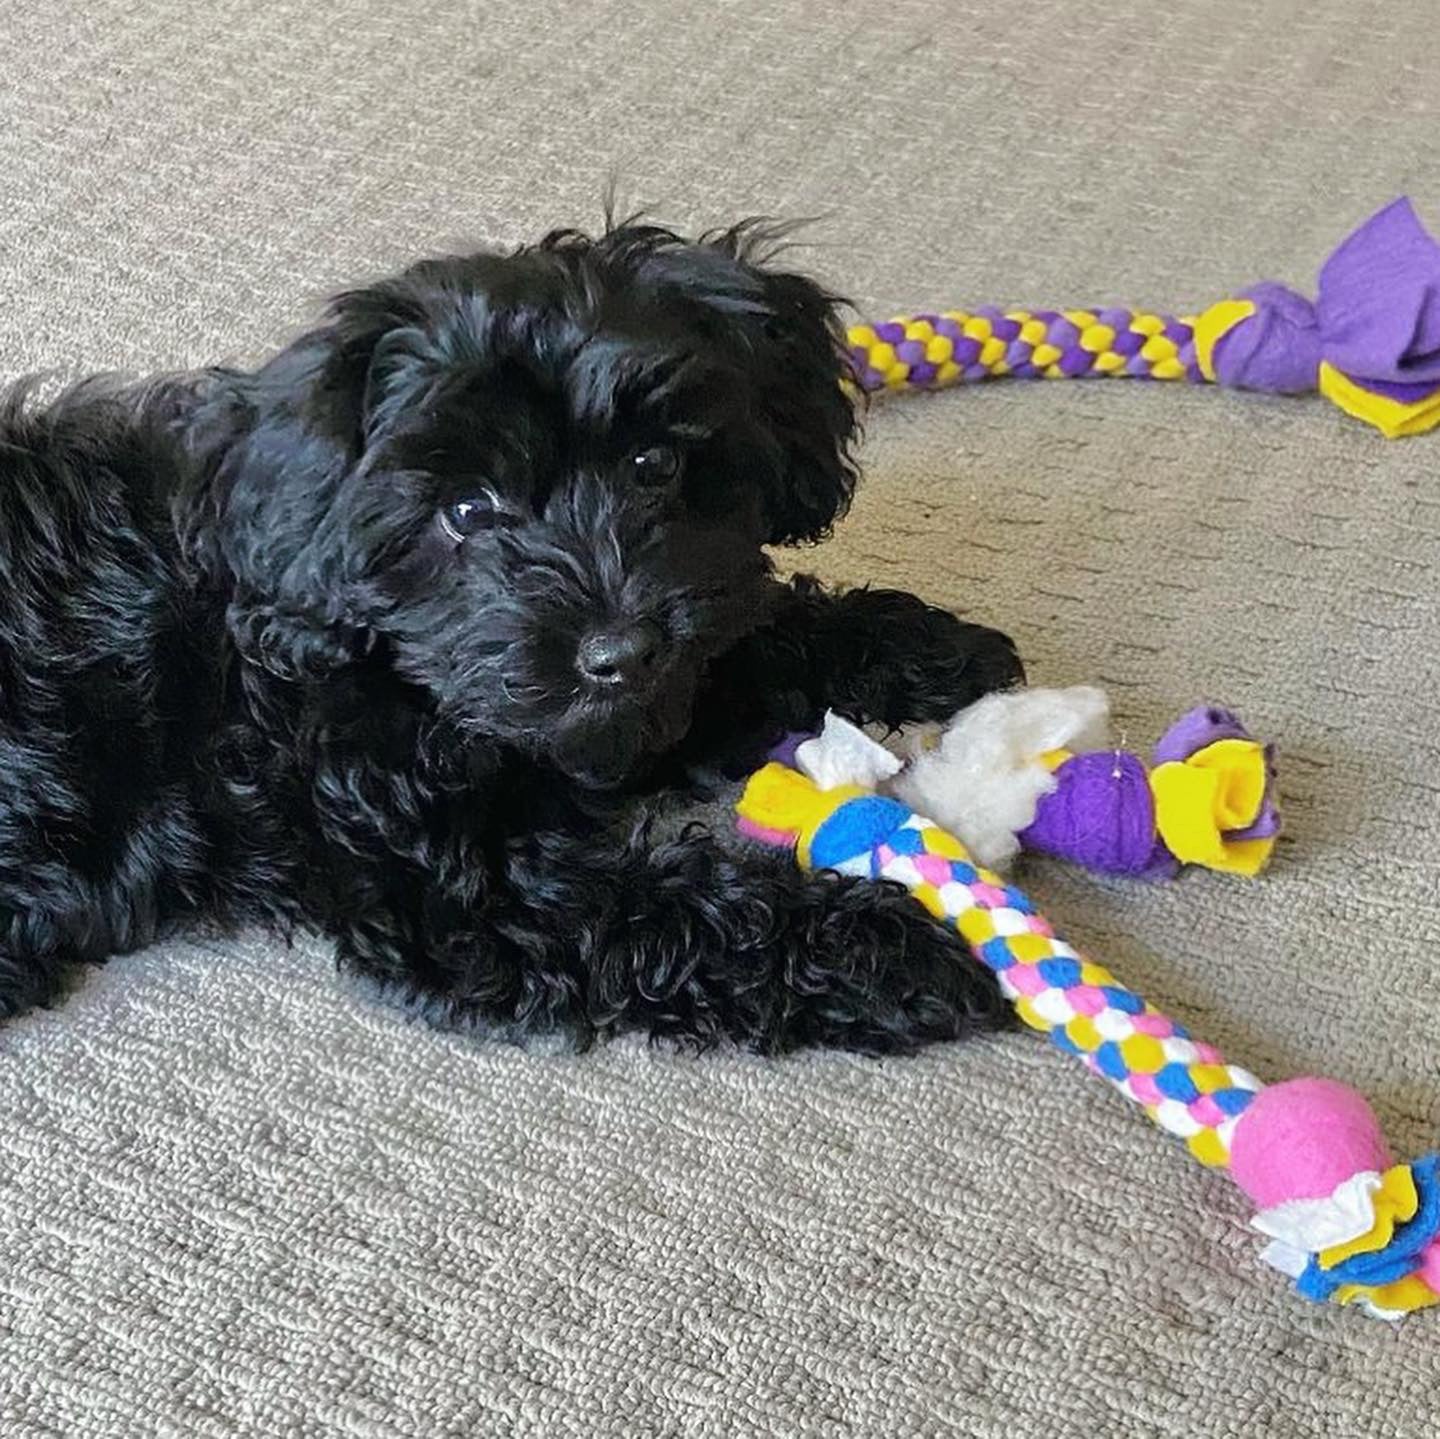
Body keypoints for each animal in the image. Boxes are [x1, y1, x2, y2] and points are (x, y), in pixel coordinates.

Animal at [0, 227, 1025, 1060]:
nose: (621, 648)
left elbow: (733, 654)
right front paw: (897, 948)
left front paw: (925, 647)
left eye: (655, 463)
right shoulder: (472, 895)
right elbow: (679, 909)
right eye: (465, 511)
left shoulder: (614, 704)